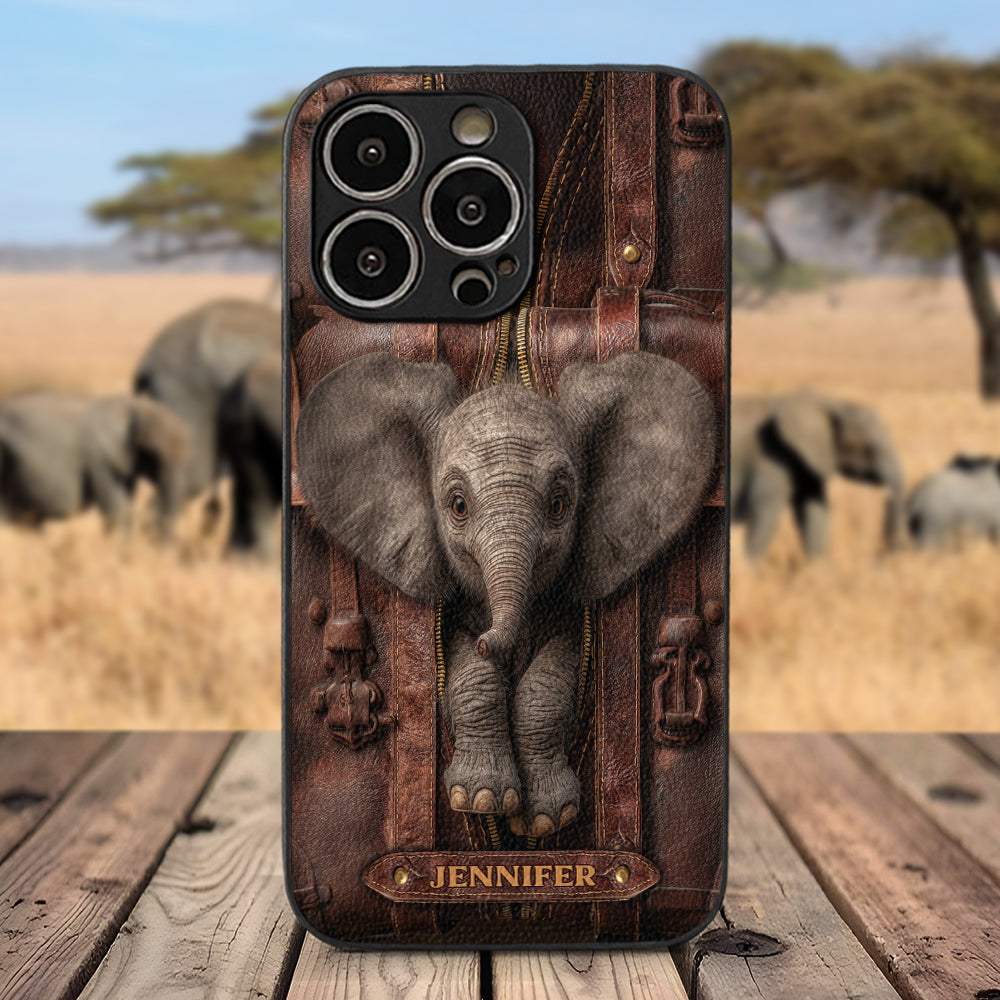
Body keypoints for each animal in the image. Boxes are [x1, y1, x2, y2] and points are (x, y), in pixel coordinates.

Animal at [0, 391, 189, 535]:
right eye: (151, 454)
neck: (130, 406)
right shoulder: (99, 460)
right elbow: (118, 511)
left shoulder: (123, 463)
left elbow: (126, 509)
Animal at [297, 351, 717, 838]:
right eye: (458, 506)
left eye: (558, 506)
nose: (489, 641)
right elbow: (464, 667)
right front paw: (480, 800)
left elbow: (553, 676)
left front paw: (546, 820)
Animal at [731, 390, 906, 559]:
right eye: (870, 449)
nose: (887, 549)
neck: (834, 406)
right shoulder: (771, 459)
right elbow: (765, 513)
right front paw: (750, 566)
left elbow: (815, 512)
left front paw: (818, 567)